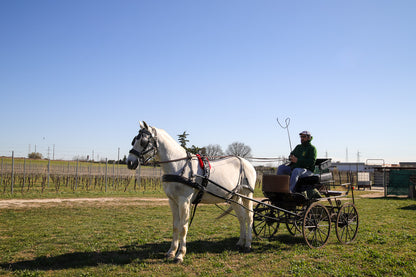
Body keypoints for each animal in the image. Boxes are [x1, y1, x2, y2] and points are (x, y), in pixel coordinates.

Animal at [127, 122, 256, 262]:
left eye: (143, 141)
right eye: (134, 140)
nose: (130, 162)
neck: (178, 165)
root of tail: (248, 163)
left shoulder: (184, 201)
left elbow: (183, 227)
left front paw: (180, 254)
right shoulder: (172, 201)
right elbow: (175, 226)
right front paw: (171, 252)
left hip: (247, 195)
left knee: (249, 217)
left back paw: (248, 244)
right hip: (234, 197)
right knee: (241, 217)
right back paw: (240, 242)